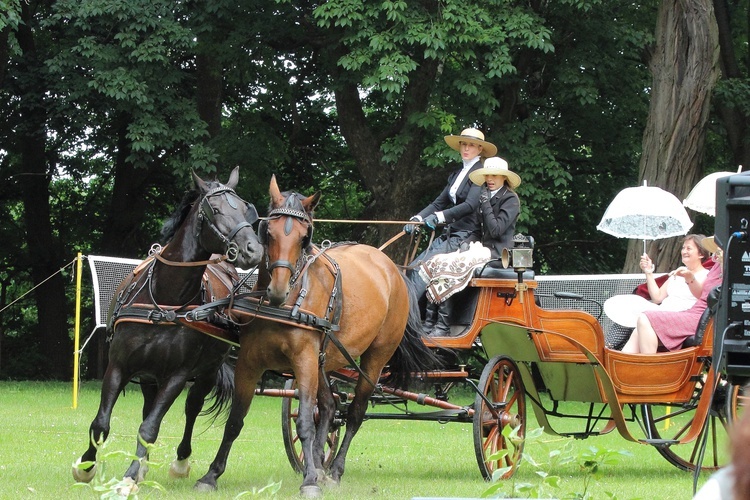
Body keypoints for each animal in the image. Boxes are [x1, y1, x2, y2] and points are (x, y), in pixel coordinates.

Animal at [71, 167, 264, 492]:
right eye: (215, 209)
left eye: (244, 207)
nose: (254, 249)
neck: (164, 298)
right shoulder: (119, 365)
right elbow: (101, 423)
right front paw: (86, 466)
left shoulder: (177, 374)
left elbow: (149, 427)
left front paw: (129, 477)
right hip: (150, 375)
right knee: (149, 406)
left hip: (206, 370)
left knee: (192, 407)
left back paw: (180, 462)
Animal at [195, 175, 440, 496]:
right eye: (268, 233)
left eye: (304, 238)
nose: (277, 290)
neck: (287, 302)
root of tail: (392, 268)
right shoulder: (249, 362)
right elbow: (236, 420)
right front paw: (211, 475)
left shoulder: (304, 361)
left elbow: (305, 424)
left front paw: (310, 480)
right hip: (324, 360)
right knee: (329, 407)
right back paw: (321, 464)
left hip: (373, 358)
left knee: (354, 413)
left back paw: (333, 471)